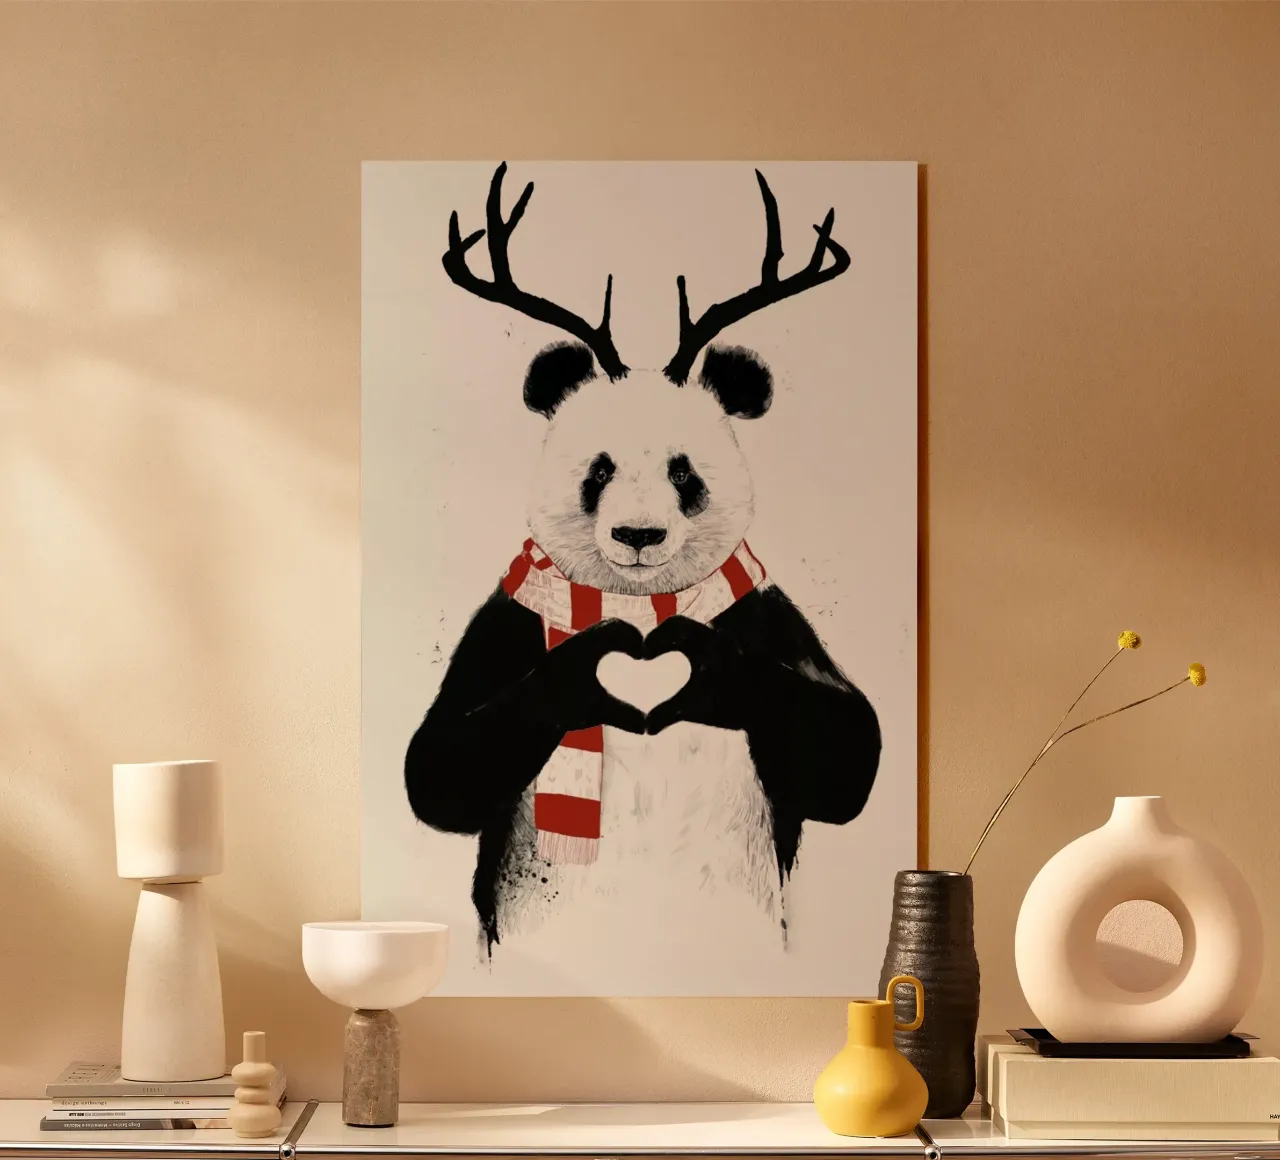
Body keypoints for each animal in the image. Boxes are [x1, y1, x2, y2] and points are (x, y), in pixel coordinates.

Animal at [405, 163, 882, 960]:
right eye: (598, 470)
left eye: (683, 472)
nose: (638, 535)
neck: (636, 601)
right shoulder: (505, 624)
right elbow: (438, 768)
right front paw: (592, 669)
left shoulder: (765, 616)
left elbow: (847, 754)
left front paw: (696, 664)